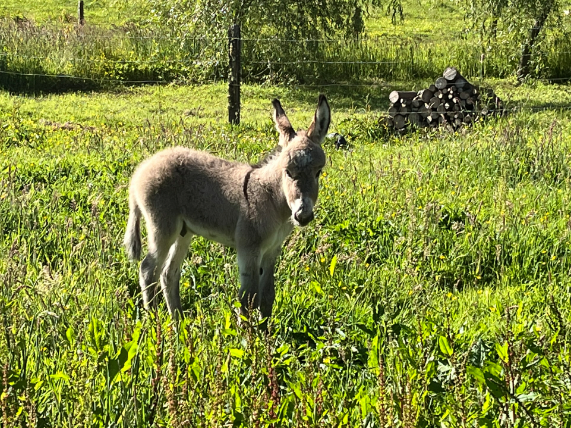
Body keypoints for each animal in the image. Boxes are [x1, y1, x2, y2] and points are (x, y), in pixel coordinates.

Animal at [125, 95, 330, 320]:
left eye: (318, 172)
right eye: (288, 172)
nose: (303, 215)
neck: (273, 200)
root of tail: (141, 170)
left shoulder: (272, 251)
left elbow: (267, 298)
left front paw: (266, 330)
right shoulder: (249, 250)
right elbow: (248, 300)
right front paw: (248, 330)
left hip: (183, 232)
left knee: (168, 273)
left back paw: (178, 322)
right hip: (163, 227)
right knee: (148, 270)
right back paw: (154, 321)